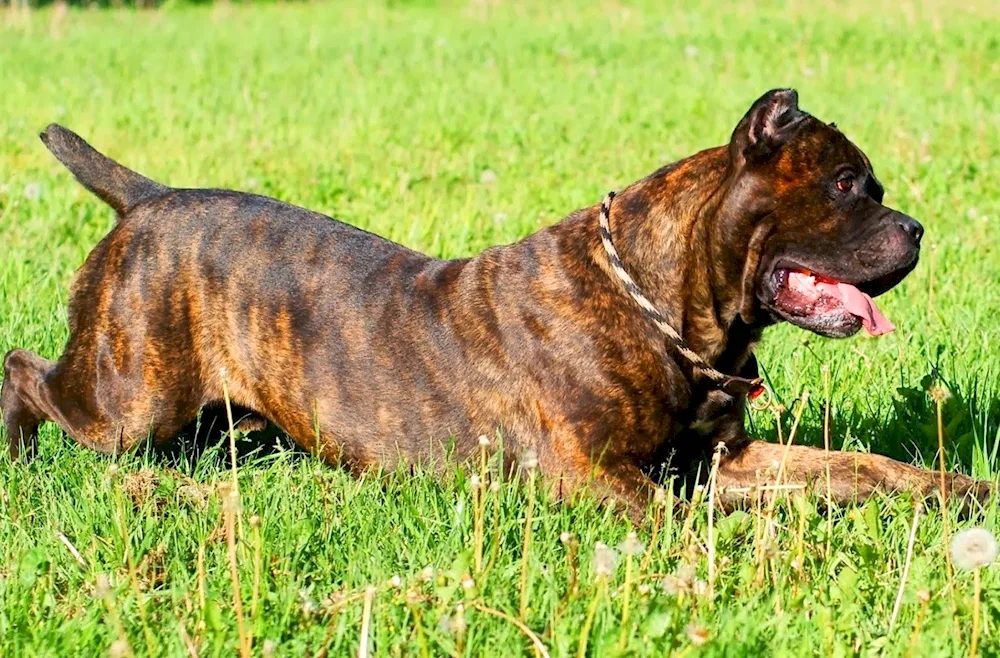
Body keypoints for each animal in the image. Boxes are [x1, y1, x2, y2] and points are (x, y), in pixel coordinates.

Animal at [0, 88, 984, 516]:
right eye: (850, 186)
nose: (917, 228)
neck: (667, 309)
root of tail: (149, 198)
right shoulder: (600, 478)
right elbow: (694, 521)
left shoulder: (727, 459)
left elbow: (859, 467)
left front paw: (957, 489)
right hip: (129, 397)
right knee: (26, 372)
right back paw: (18, 456)